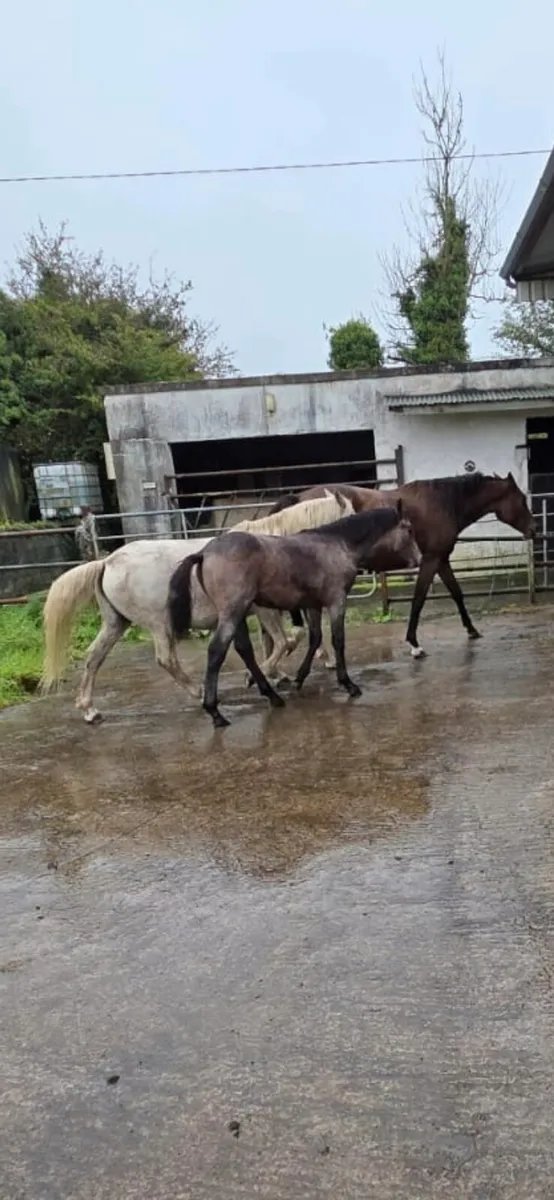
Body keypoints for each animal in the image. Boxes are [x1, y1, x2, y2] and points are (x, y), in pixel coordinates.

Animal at [41, 492, 354, 723]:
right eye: (350, 516)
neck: (274, 548)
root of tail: (107, 562)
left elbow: (275, 643)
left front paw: (276, 676)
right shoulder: (264, 611)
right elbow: (285, 641)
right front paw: (258, 678)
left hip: (116, 623)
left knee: (94, 657)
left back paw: (89, 710)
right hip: (158, 624)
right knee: (166, 659)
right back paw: (199, 692)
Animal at [167, 503, 421, 728]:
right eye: (409, 529)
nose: (419, 559)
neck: (336, 545)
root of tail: (204, 553)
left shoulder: (313, 606)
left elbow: (315, 638)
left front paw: (299, 679)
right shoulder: (336, 601)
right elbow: (337, 640)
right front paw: (348, 684)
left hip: (238, 615)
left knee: (244, 650)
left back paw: (271, 695)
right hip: (233, 613)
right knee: (216, 652)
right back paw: (216, 712)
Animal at [269, 473, 535, 657]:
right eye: (522, 500)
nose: (534, 530)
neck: (442, 503)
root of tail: (297, 498)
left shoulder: (441, 560)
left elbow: (457, 593)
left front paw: (471, 630)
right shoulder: (430, 560)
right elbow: (418, 599)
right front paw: (415, 644)